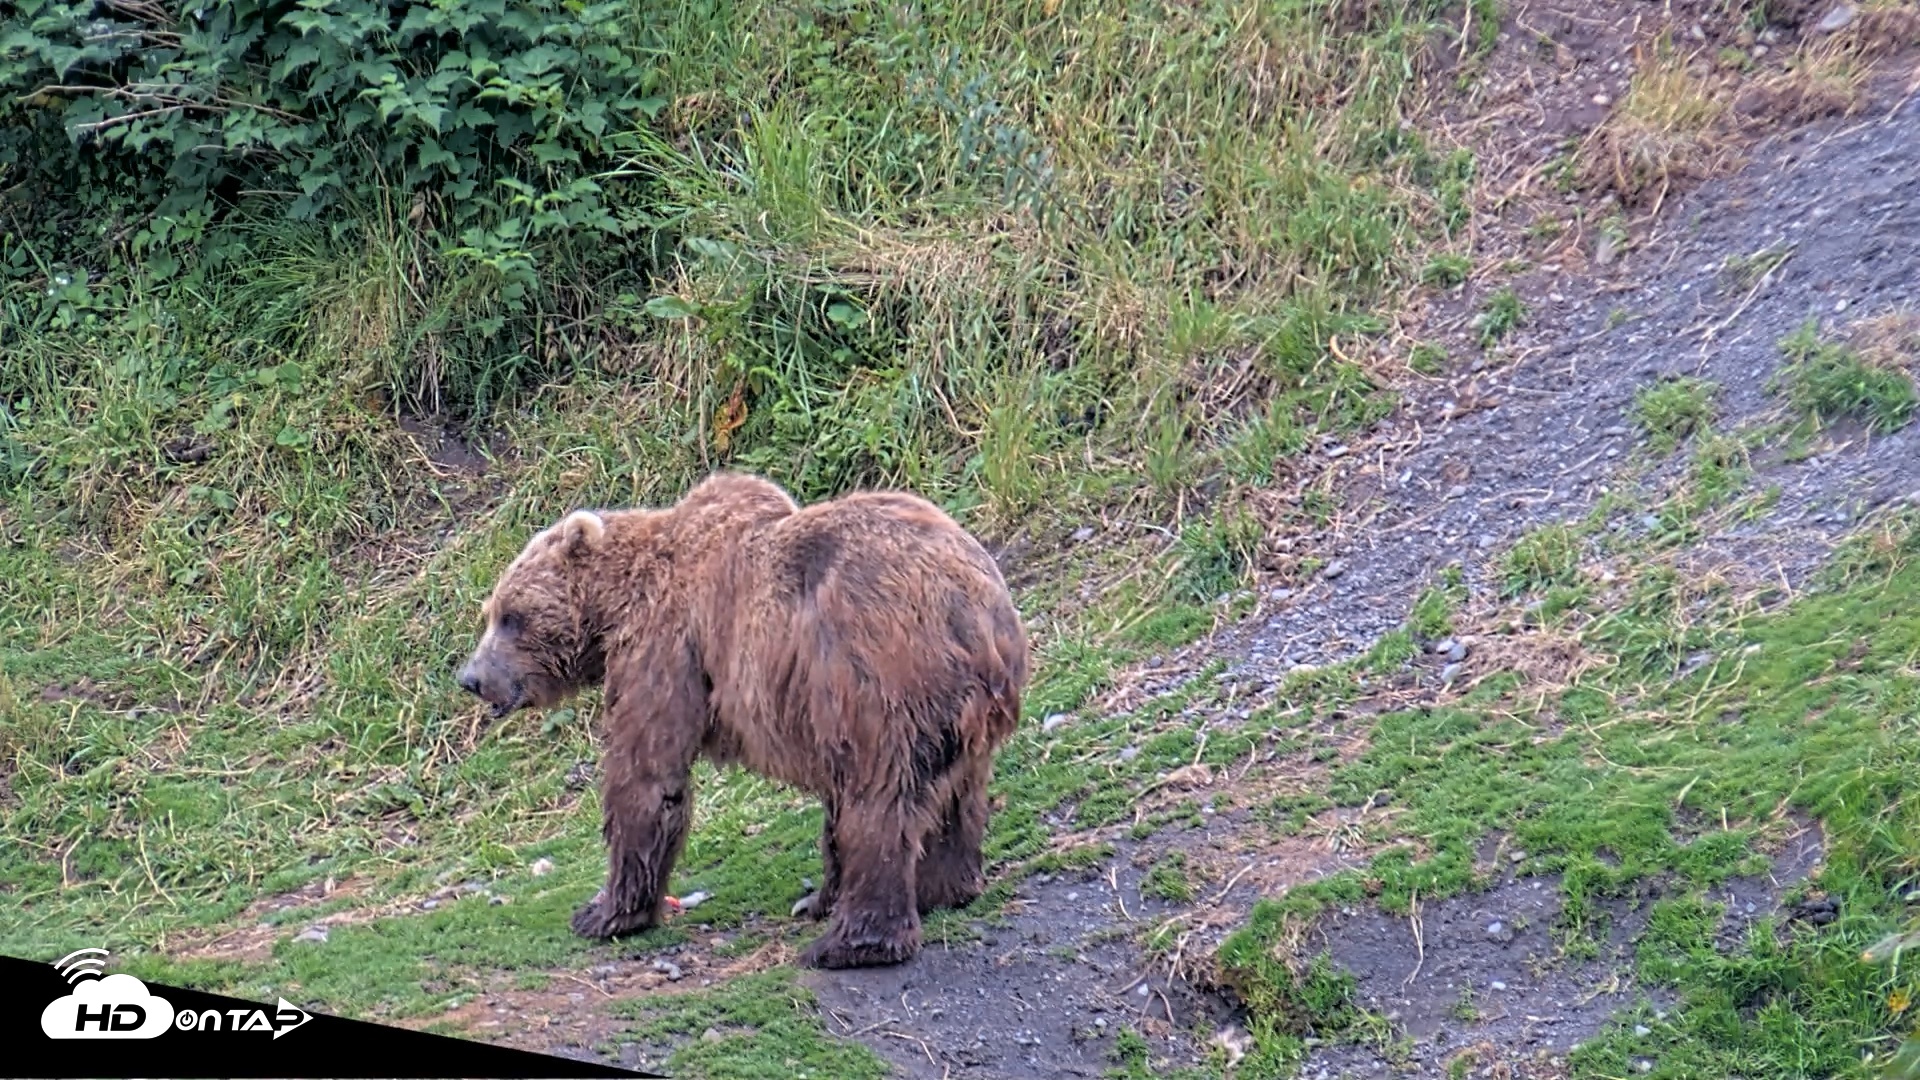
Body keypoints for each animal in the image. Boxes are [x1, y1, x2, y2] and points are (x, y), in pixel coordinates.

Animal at [454, 471, 1031, 970]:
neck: (615, 605)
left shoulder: (667, 642)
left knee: (876, 800)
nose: (471, 678)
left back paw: (851, 944)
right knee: (953, 795)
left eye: (511, 616)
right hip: (960, 712)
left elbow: (647, 772)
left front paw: (604, 913)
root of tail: (975, 612)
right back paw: (939, 890)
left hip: (880, 675)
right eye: (492, 612)